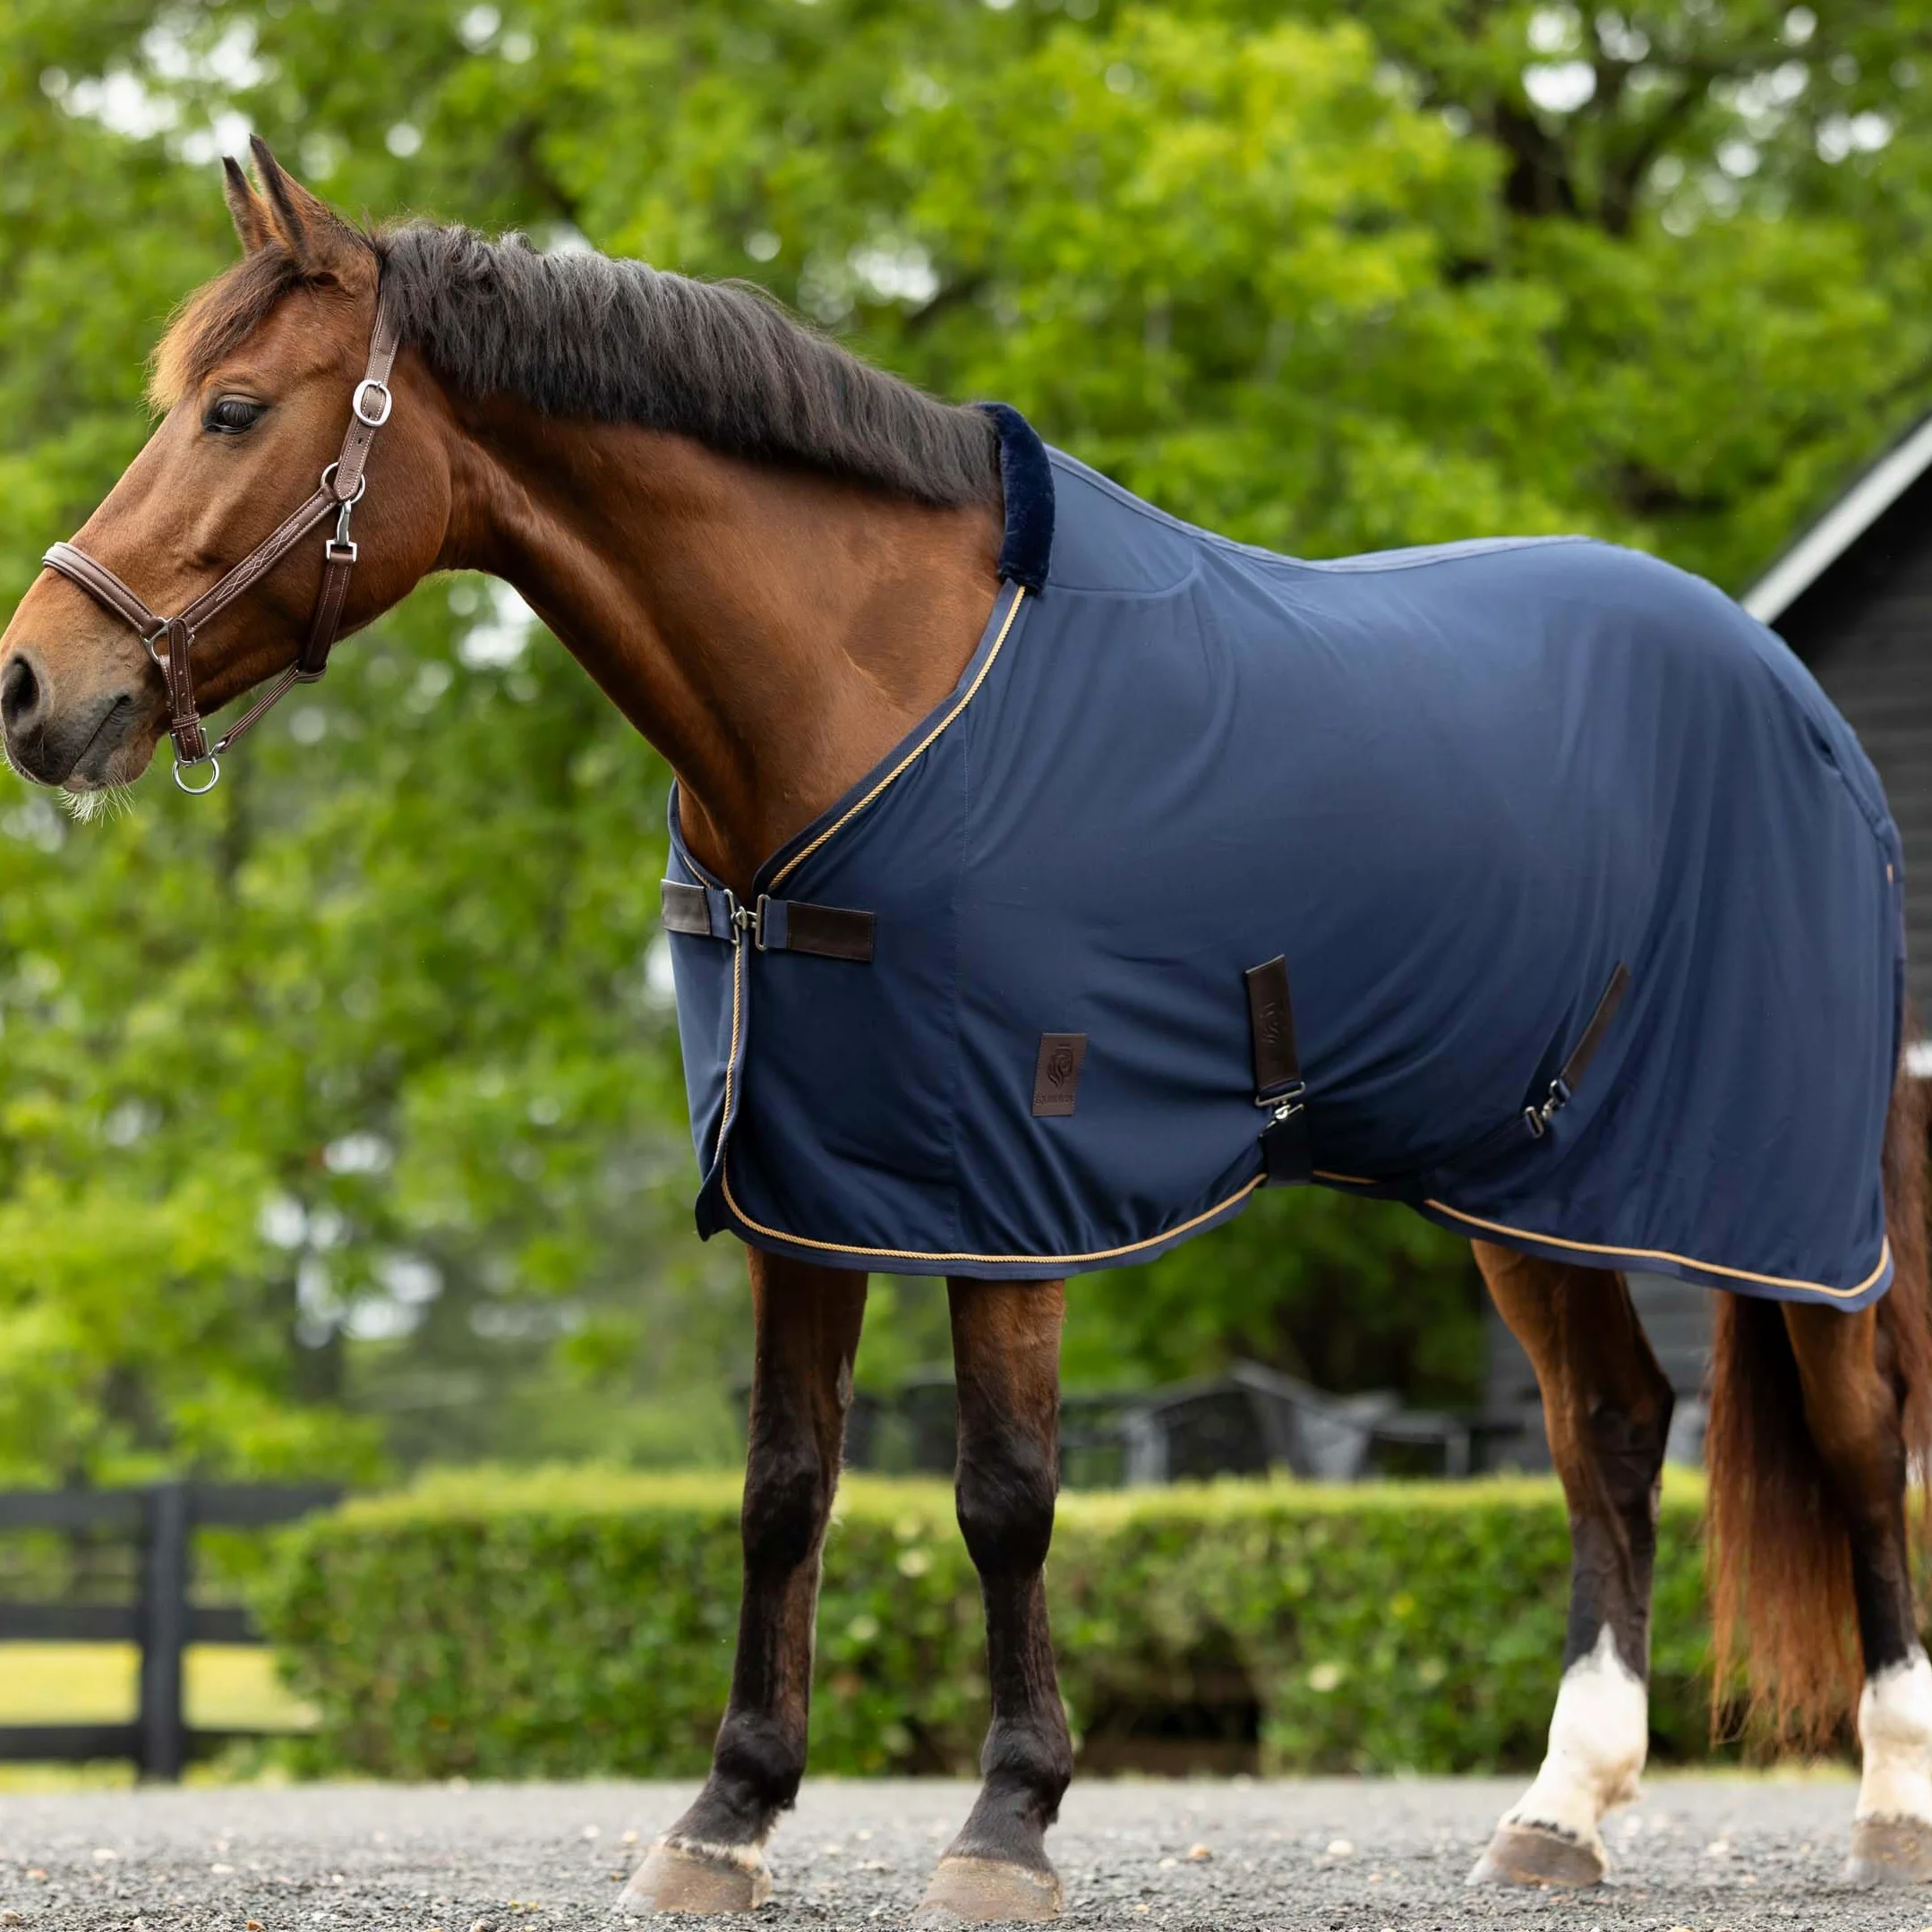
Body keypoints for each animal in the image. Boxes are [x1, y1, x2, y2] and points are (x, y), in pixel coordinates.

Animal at [4, 141, 1930, 1921]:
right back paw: (1559, 1808)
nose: (33, 686)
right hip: (1525, 1178)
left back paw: (1885, 1797)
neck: (860, 701)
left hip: (1783, 1183)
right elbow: (783, 1486)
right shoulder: (801, 1179)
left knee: (1853, 1430)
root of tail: (1784, 690)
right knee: (1607, 1424)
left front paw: (1006, 1818)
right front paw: (724, 1815)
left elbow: (1002, 1493)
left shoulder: (1012, 1184)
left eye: (235, 408)